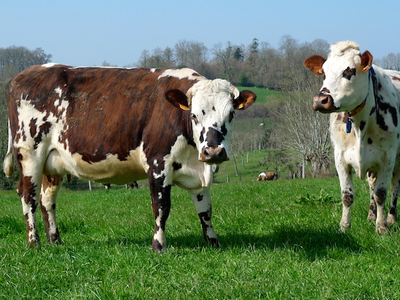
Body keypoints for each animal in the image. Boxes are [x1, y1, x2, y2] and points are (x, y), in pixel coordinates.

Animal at [3, 64, 256, 252]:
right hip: (29, 154)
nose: (213, 151)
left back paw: (55, 240)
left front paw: (213, 242)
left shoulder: (199, 171)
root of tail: (25, 73)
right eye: (193, 115)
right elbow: (161, 206)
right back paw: (34, 243)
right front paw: (159, 246)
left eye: (231, 114)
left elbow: (205, 209)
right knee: (28, 196)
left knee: (47, 199)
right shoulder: (158, 163)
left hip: (51, 163)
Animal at [304, 40, 400, 232]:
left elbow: (381, 193)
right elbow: (347, 196)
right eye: (323, 72)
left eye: (349, 71)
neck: (359, 125)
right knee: (372, 186)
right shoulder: (340, 157)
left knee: (394, 187)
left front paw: (382, 227)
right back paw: (371, 215)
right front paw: (344, 226)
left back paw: (391, 217)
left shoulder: (388, 156)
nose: (320, 100)